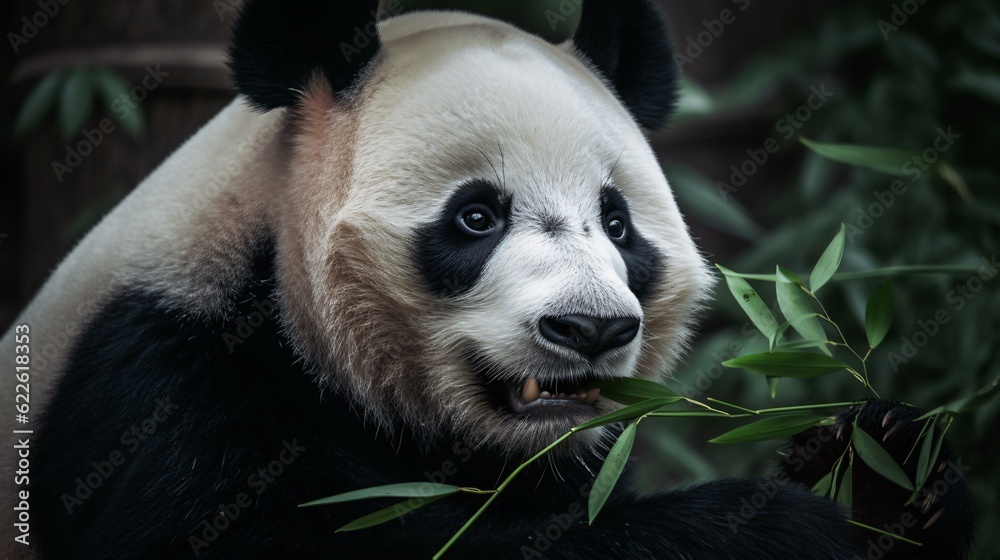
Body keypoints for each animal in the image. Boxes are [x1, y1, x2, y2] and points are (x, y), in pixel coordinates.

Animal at [0, 1, 968, 560]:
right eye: (476, 217)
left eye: (617, 222)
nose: (590, 330)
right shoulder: (157, 390)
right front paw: (773, 524)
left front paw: (880, 471)